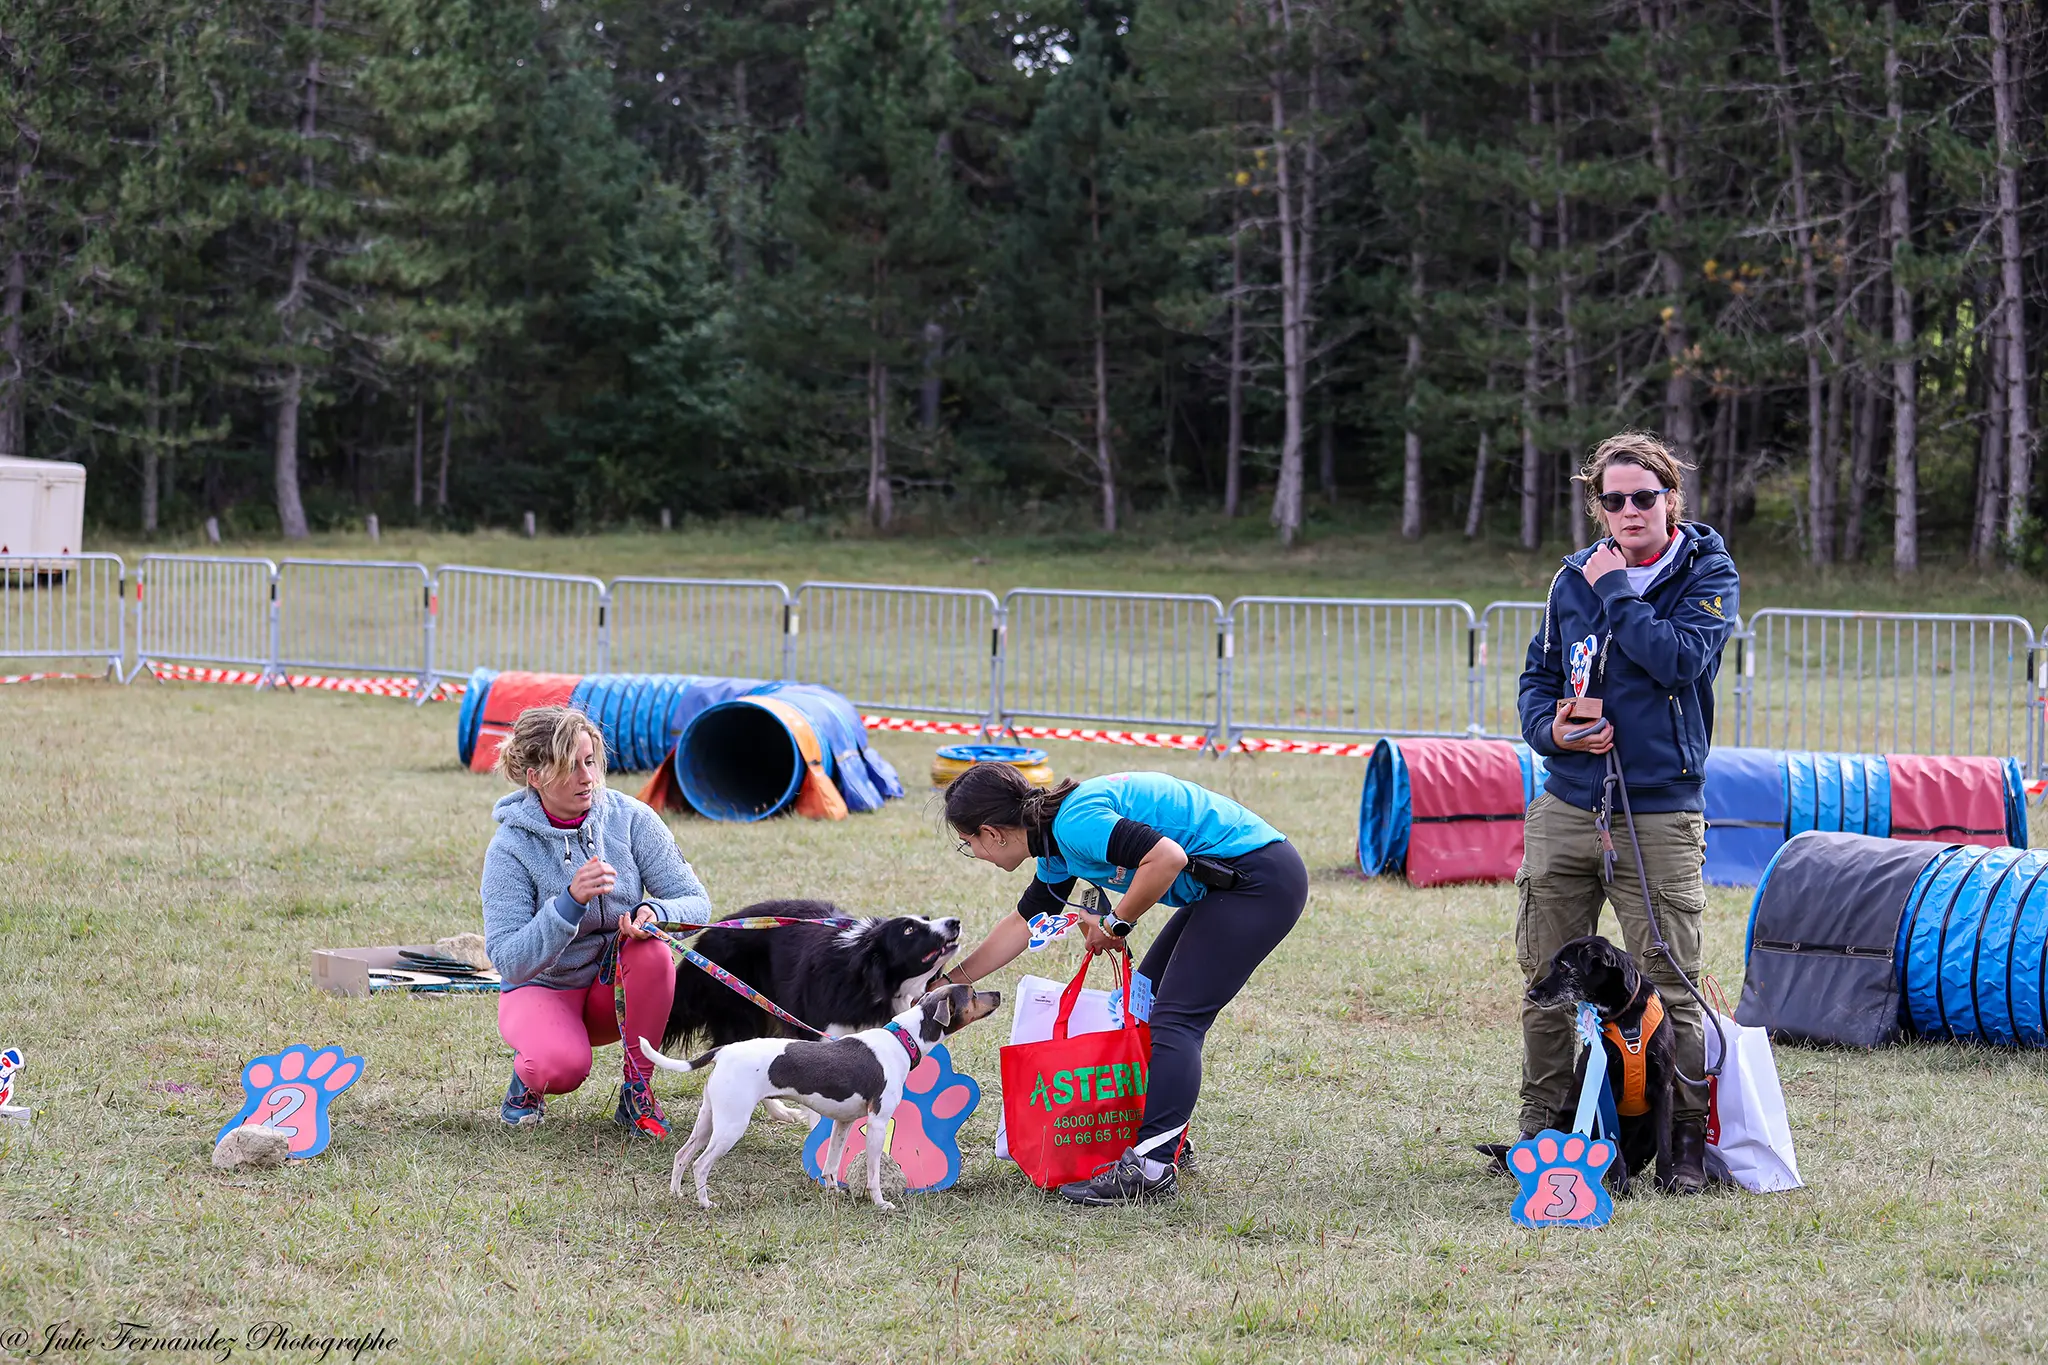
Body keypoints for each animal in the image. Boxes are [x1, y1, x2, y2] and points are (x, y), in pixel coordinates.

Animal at [634, 982, 995, 1219]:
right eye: (973, 993)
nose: (999, 994)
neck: (901, 1039)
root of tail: (724, 1051)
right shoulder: (878, 1123)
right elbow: (874, 1173)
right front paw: (880, 1203)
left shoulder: (843, 1122)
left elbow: (831, 1165)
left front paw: (833, 1190)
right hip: (731, 1126)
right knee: (700, 1164)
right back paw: (705, 1203)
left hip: (709, 1120)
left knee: (682, 1156)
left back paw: (677, 1194)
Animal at [1531, 933, 1671, 1186]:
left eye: (1564, 967)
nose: (1531, 994)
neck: (1624, 1015)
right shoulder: (1605, 1089)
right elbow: (1611, 1145)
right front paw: (1621, 1187)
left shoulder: (1663, 1086)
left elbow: (1666, 1142)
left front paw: (1666, 1184)